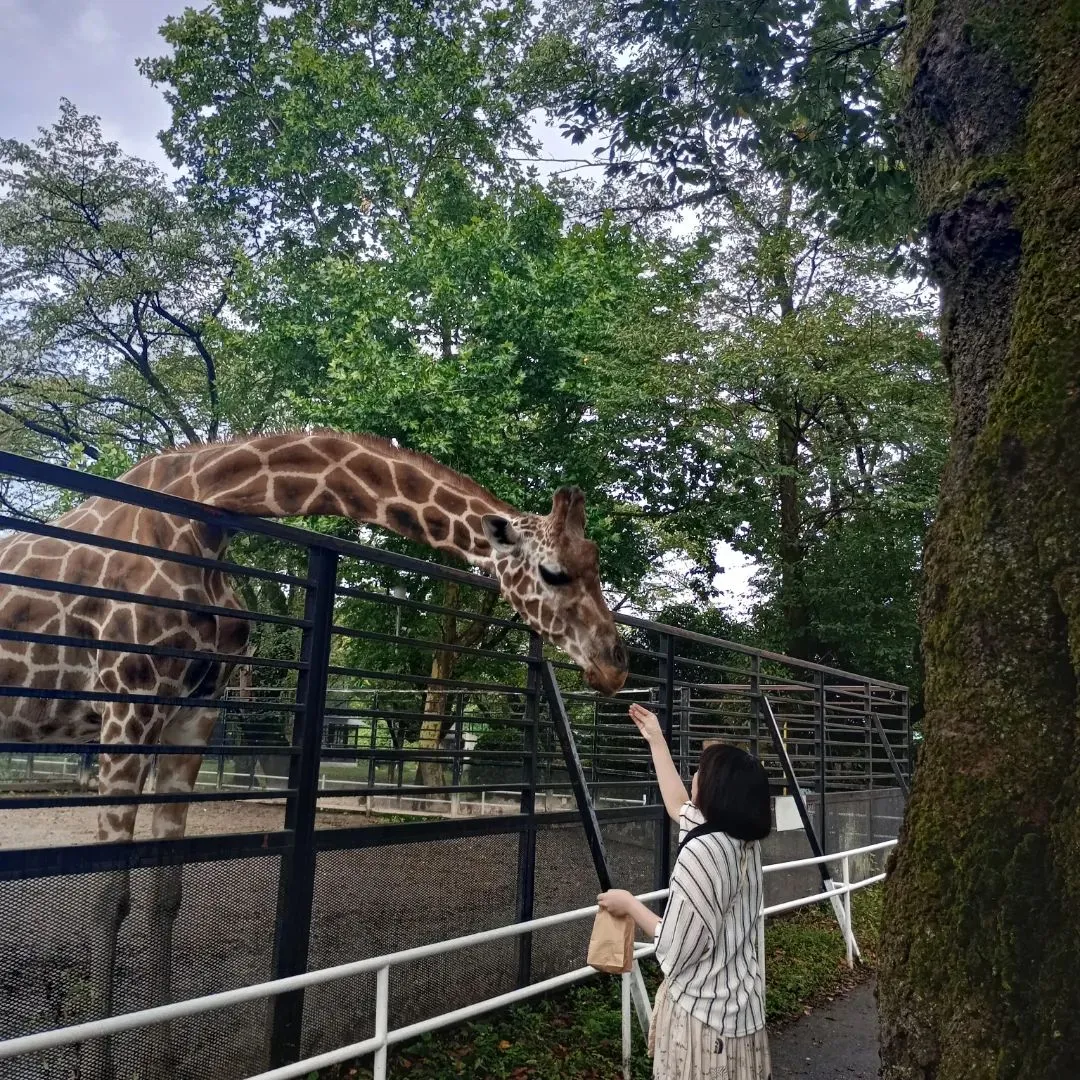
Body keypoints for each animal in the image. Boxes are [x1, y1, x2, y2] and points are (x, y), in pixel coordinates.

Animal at [0, 427, 630, 1071]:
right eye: (553, 572)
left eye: (595, 564)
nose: (616, 662)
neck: (204, 516)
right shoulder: (128, 703)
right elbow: (109, 897)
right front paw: (96, 1065)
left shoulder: (193, 715)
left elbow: (167, 892)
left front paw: (166, 1053)